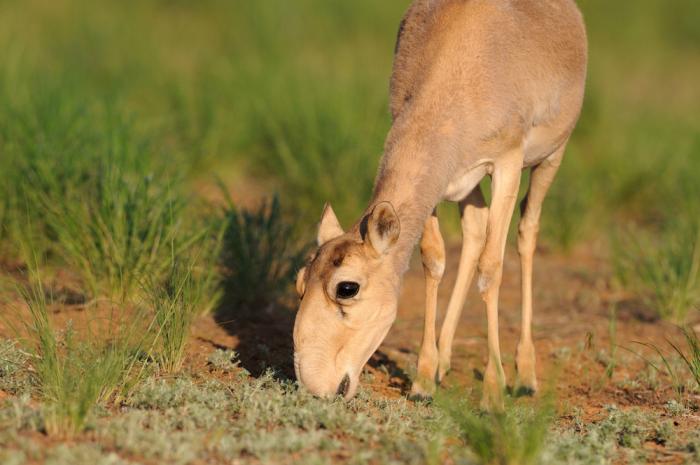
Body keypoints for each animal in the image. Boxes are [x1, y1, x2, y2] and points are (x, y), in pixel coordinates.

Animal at [293, 0, 587, 410]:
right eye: (300, 282)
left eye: (346, 287)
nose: (313, 386)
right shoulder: (437, 186)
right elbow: (433, 259)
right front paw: (422, 382)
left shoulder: (507, 163)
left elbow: (491, 267)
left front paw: (492, 392)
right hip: (467, 187)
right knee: (475, 229)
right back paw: (445, 362)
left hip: (551, 157)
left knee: (527, 232)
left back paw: (525, 375)